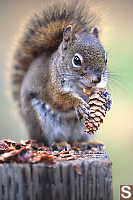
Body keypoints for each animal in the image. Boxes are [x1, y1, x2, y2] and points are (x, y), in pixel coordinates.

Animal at [9, 0, 108, 147]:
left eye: (106, 59)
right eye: (76, 60)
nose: (97, 79)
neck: (79, 86)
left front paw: (104, 96)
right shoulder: (51, 86)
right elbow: (59, 100)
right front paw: (77, 103)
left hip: (82, 130)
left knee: (79, 140)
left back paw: (87, 143)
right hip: (42, 122)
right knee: (48, 140)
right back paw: (59, 143)